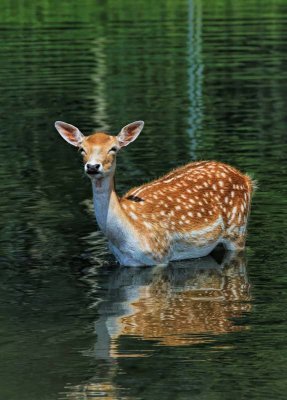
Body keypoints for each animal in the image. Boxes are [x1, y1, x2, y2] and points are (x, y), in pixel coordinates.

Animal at [55, 120, 255, 268]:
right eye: (81, 149)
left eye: (113, 148)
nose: (93, 166)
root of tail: (246, 179)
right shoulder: (125, 263)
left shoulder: (160, 256)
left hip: (238, 229)